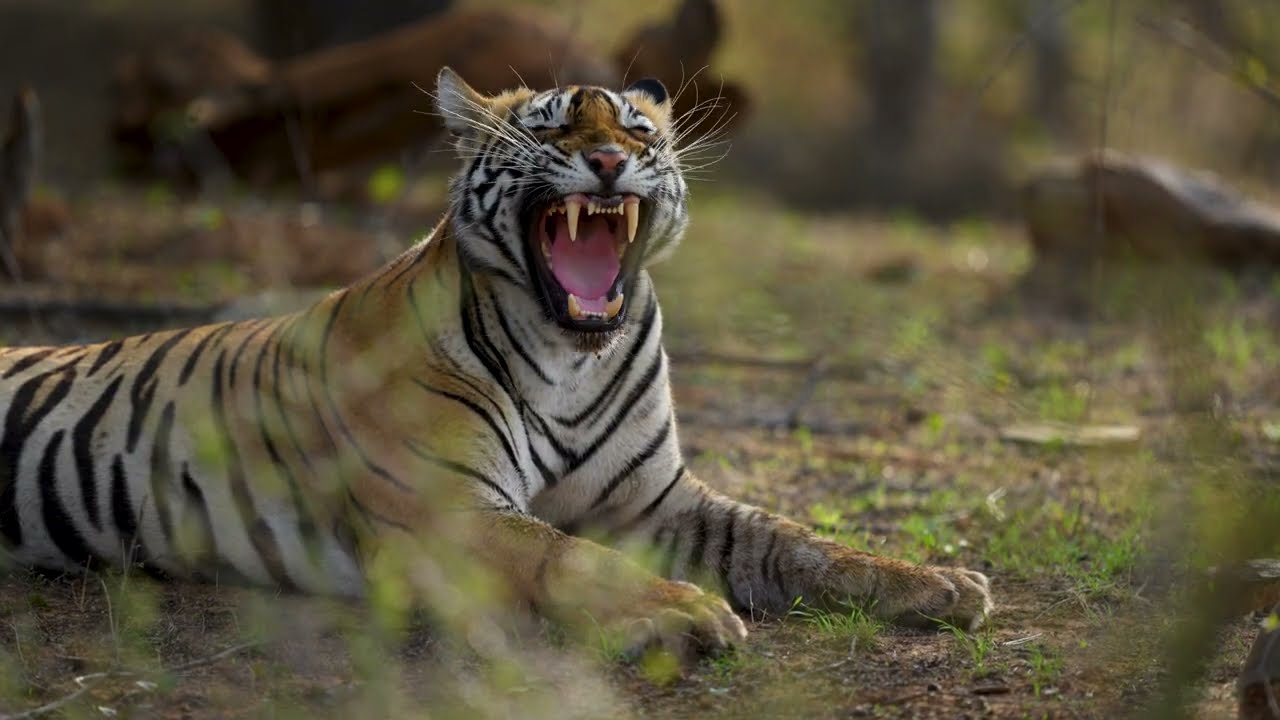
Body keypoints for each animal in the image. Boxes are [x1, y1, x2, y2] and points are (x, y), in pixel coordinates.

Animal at [0, 68, 992, 664]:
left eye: (638, 129)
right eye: (553, 130)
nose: (609, 160)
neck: (570, 359)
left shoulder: (656, 502)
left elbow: (795, 539)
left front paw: (938, 582)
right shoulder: (448, 509)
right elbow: (567, 554)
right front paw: (686, 611)